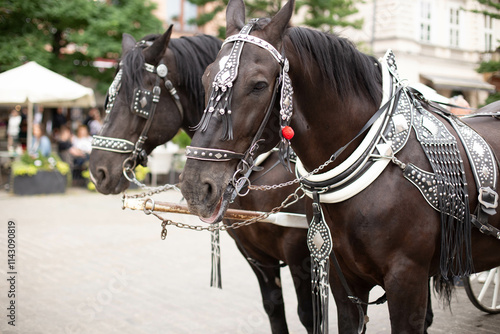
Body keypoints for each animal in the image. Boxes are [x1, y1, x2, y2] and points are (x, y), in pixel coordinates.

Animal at [86, 26, 312, 334]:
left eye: (140, 100)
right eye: (109, 97)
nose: (98, 170)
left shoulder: (302, 255)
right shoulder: (255, 254)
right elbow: (274, 308)